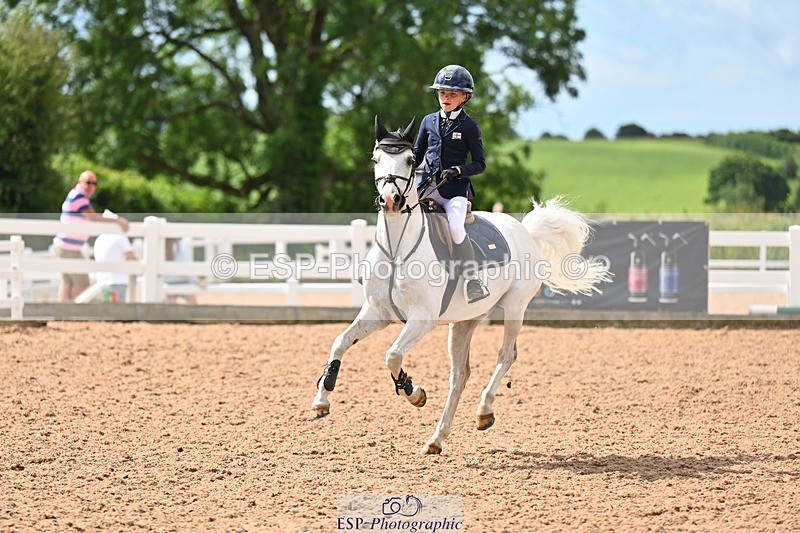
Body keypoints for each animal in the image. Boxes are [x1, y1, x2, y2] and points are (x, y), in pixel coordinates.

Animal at [310, 116, 611, 455]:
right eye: (375, 160)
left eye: (410, 160)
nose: (390, 201)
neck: (397, 248)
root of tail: (524, 230)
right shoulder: (377, 313)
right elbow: (340, 342)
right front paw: (321, 399)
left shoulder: (422, 319)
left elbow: (392, 355)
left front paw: (414, 392)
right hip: (465, 322)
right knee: (460, 376)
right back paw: (437, 439)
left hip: (515, 307)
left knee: (506, 355)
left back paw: (484, 412)